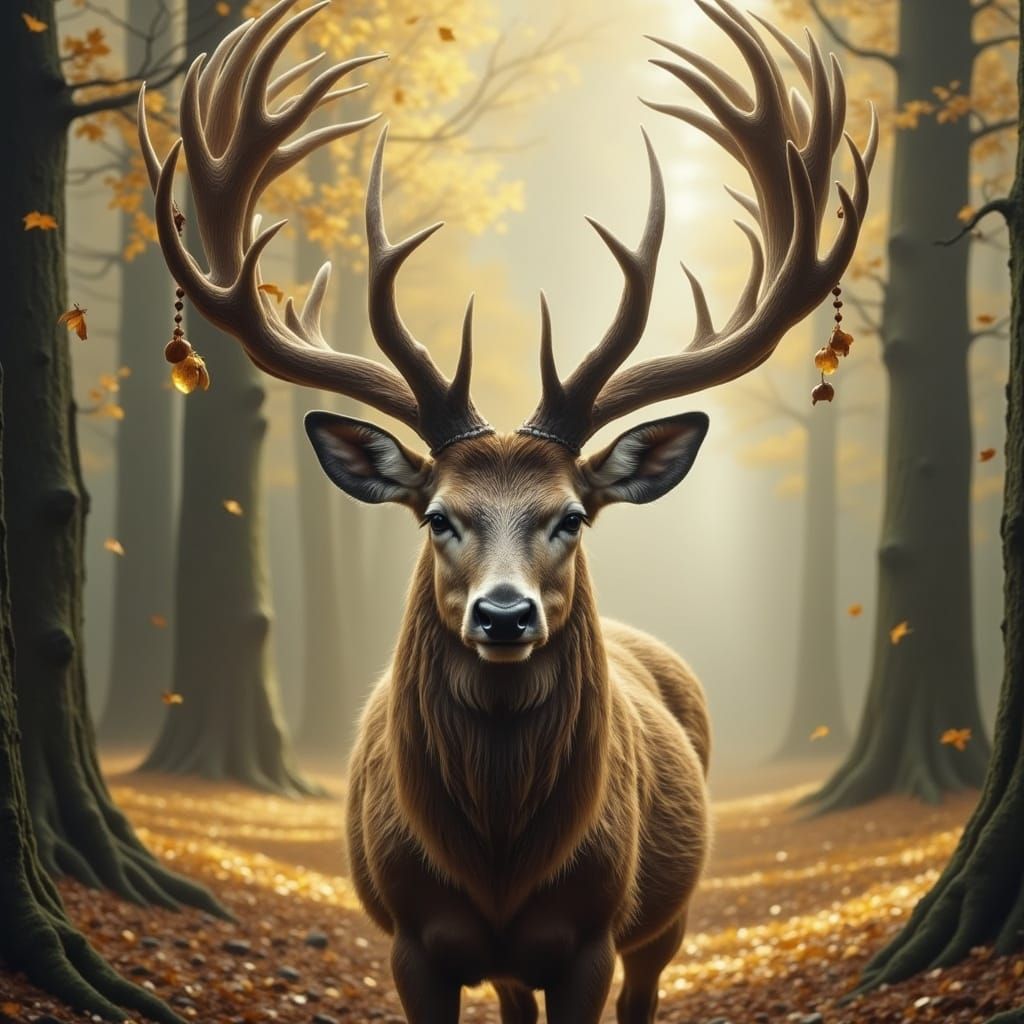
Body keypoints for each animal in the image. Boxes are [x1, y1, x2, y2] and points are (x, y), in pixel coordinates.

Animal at [139, 1, 875, 1020]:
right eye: (437, 516)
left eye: (571, 516)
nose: (503, 613)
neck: (497, 863)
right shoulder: (410, 939)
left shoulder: (590, 936)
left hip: (665, 915)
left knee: (647, 990)